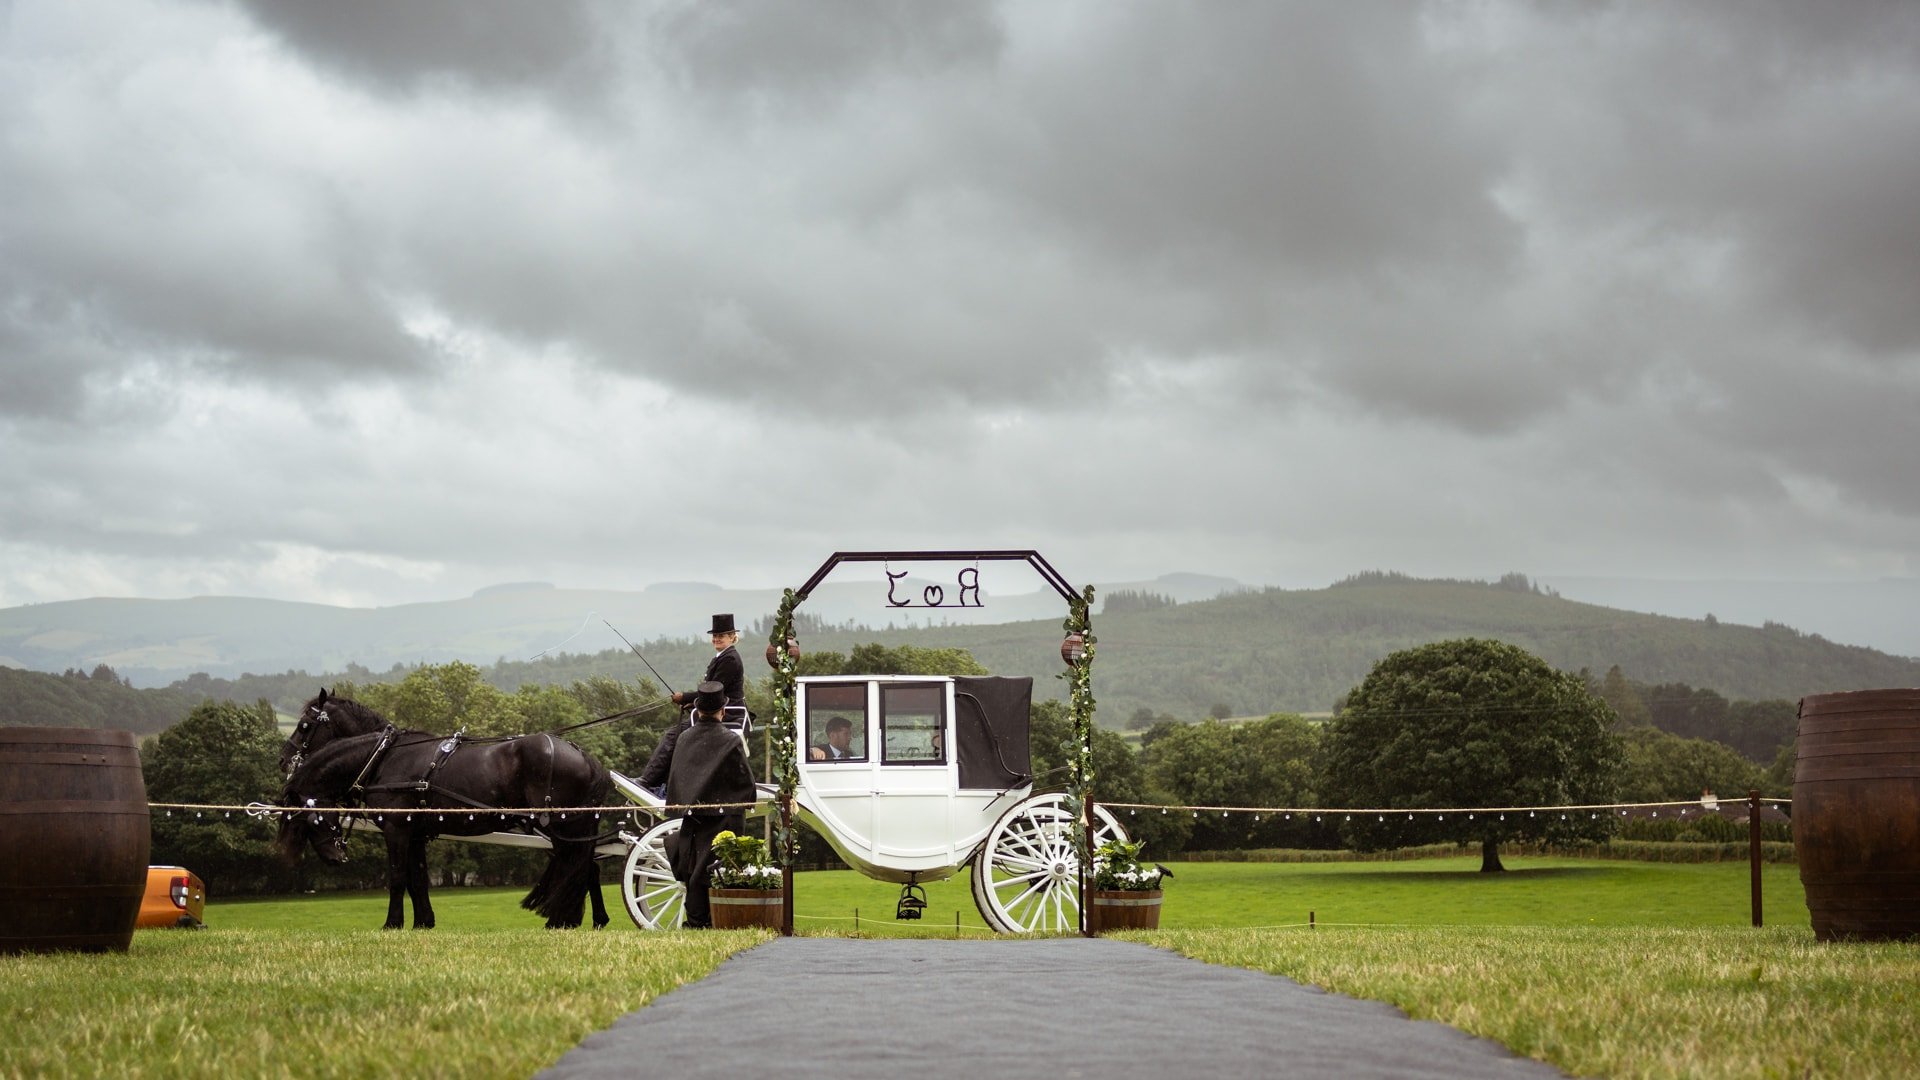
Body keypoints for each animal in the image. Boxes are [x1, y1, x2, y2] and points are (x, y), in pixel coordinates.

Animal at [274, 722, 606, 926]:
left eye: (305, 724)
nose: (283, 758)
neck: (383, 757)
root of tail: (584, 755)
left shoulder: (397, 829)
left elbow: (397, 878)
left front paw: (392, 923)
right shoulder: (415, 834)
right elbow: (418, 879)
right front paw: (423, 922)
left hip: (561, 826)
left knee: (579, 866)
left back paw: (565, 919)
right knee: (584, 865)